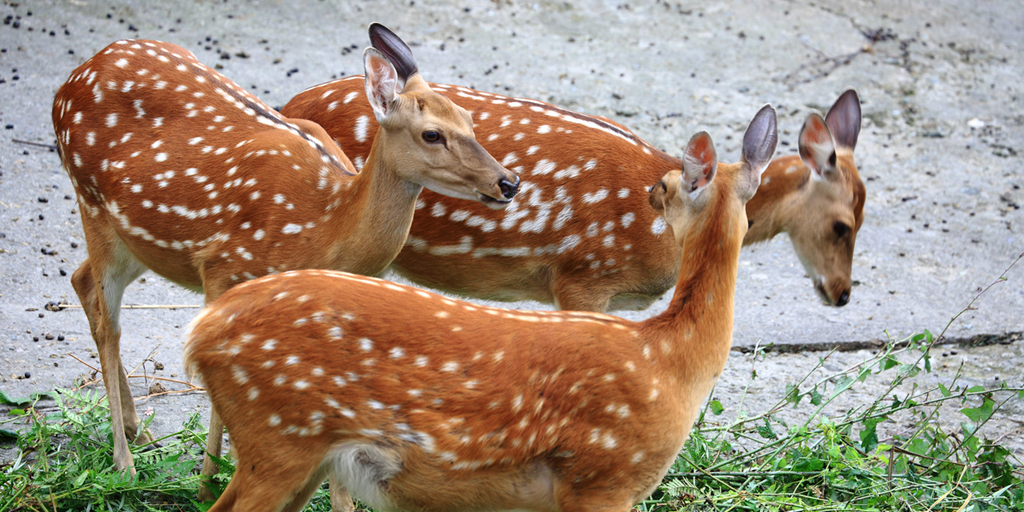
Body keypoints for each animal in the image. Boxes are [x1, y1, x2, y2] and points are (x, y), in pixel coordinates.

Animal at [50, 24, 520, 491]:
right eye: (432, 134)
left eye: (469, 120)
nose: (509, 182)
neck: (324, 225)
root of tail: (73, 78)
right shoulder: (222, 266)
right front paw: (206, 481)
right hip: (91, 201)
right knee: (108, 325)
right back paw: (125, 462)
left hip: (134, 239)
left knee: (81, 280)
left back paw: (137, 430)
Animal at [182, 103, 774, 512]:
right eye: (670, 182)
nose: (652, 192)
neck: (670, 358)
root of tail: (201, 332)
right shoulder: (602, 475)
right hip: (279, 434)